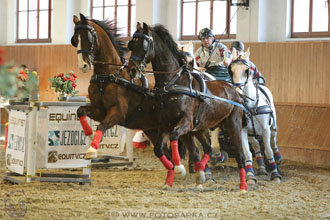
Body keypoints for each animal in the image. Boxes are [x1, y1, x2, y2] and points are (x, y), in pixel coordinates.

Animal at [71, 13, 213, 188]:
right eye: (75, 39)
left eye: (88, 37)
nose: (83, 65)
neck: (109, 75)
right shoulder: (99, 110)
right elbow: (81, 111)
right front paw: (90, 136)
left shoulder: (117, 113)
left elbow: (103, 125)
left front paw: (92, 150)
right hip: (154, 129)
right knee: (172, 151)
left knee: (198, 148)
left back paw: (202, 173)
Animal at [126, 21, 248, 191]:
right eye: (131, 44)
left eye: (143, 45)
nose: (131, 70)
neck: (173, 82)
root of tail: (233, 89)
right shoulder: (167, 124)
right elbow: (159, 149)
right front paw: (170, 180)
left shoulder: (185, 122)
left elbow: (174, 137)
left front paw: (179, 169)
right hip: (201, 127)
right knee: (208, 148)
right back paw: (201, 174)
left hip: (233, 123)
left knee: (240, 155)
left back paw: (243, 186)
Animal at [229, 48, 282, 184]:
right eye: (231, 70)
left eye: (246, 70)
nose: (237, 92)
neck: (252, 105)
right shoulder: (242, 130)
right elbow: (247, 153)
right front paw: (250, 176)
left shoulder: (265, 129)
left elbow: (268, 150)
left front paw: (275, 174)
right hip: (252, 134)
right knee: (256, 146)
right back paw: (262, 168)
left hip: (272, 128)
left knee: (273, 143)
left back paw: (278, 158)